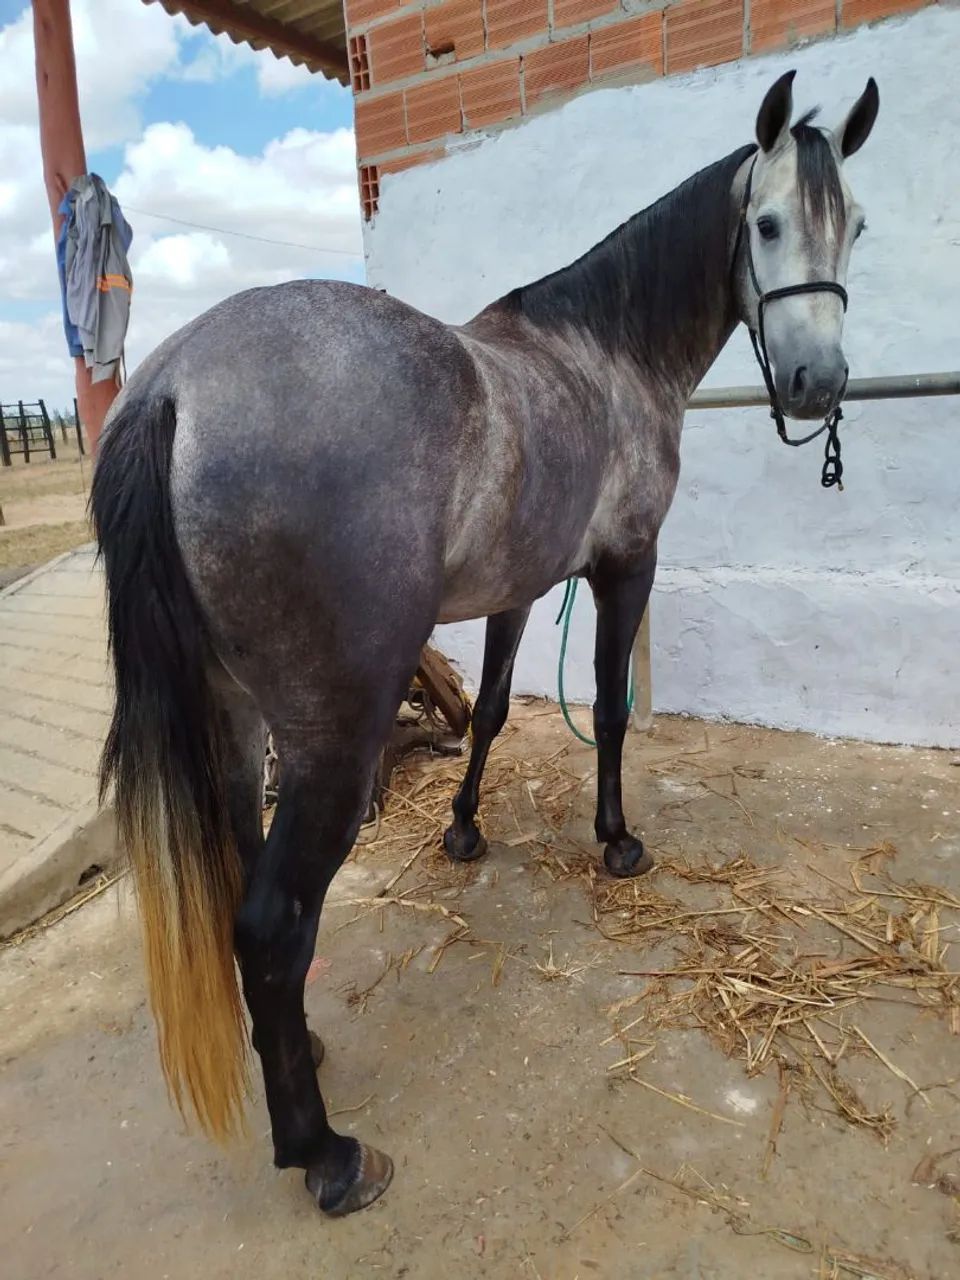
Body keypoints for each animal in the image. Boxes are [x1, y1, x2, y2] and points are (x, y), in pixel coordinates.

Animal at [91, 71, 879, 1216]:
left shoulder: (521, 587)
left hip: (233, 719)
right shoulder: (624, 568)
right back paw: (325, 1151)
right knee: (274, 923)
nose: (818, 382)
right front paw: (617, 841)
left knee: (243, 880)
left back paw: (300, 1055)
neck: (604, 352)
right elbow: (607, 712)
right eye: (767, 223)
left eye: (855, 225)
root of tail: (173, 388)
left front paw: (465, 829)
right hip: (332, 740)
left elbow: (498, 710)